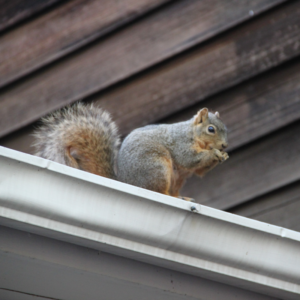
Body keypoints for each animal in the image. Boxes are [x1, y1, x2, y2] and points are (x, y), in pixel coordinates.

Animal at [33, 102, 230, 200]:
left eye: (226, 128)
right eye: (211, 129)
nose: (224, 146)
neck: (193, 134)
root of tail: (126, 182)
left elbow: (199, 170)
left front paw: (223, 156)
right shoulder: (180, 143)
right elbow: (189, 159)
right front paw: (214, 154)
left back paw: (182, 198)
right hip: (156, 168)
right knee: (158, 191)